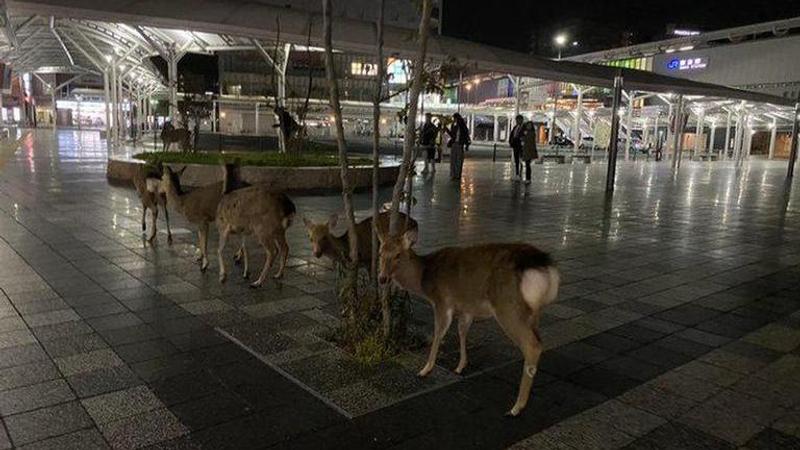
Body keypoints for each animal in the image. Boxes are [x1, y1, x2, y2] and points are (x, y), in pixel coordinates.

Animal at [376, 230, 560, 416]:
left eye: (398, 255)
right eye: (380, 253)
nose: (382, 278)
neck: (424, 278)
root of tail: (547, 269)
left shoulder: (442, 301)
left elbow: (438, 333)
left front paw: (425, 369)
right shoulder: (466, 308)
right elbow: (462, 331)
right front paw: (460, 366)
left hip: (508, 307)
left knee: (532, 345)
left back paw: (516, 408)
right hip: (532, 312)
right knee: (539, 341)